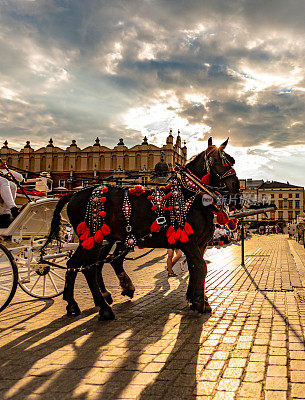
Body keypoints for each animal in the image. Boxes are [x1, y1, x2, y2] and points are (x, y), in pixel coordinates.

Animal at [44, 137, 240, 318]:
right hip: (92, 237)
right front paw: (200, 303)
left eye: (232, 160)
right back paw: (104, 308)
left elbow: (194, 268)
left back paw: (76, 303)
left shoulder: (201, 244)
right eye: (222, 161)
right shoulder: (189, 242)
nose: (236, 186)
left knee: (83, 264)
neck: (190, 195)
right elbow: (200, 267)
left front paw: (194, 298)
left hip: (103, 238)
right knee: (88, 267)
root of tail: (74, 193)